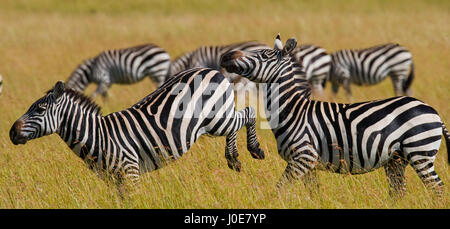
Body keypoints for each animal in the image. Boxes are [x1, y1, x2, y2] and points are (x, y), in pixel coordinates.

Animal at [10, 69, 266, 191]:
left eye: (40, 109)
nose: (12, 132)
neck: (98, 136)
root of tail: (212, 70)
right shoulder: (112, 179)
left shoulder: (130, 173)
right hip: (217, 119)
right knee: (238, 121)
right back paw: (233, 159)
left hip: (217, 118)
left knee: (249, 113)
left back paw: (253, 150)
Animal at [222, 34, 450, 197]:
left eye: (262, 55)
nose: (225, 56)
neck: (293, 110)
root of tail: (433, 111)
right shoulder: (310, 164)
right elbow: (314, 194)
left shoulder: (303, 156)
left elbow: (280, 189)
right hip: (397, 159)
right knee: (399, 192)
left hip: (419, 151)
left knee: (437, 188)